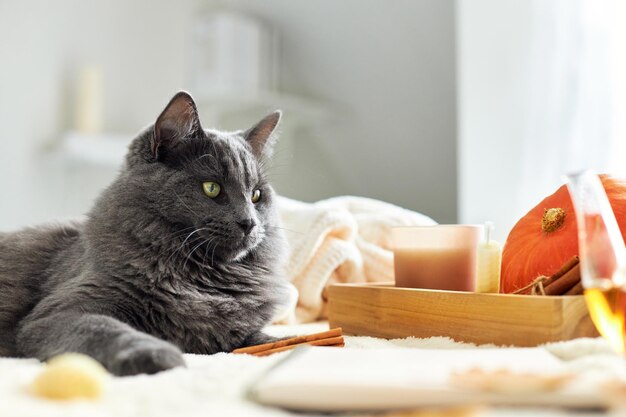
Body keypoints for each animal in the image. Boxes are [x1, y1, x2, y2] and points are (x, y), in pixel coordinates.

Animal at [0, 92, 290, 376]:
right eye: (212, 188)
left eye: (256, 195)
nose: (249, 222)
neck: (204, 278)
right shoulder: (59, 313)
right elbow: (105, 328)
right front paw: (156, 356)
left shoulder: (231, 334)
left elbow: (266, 340)